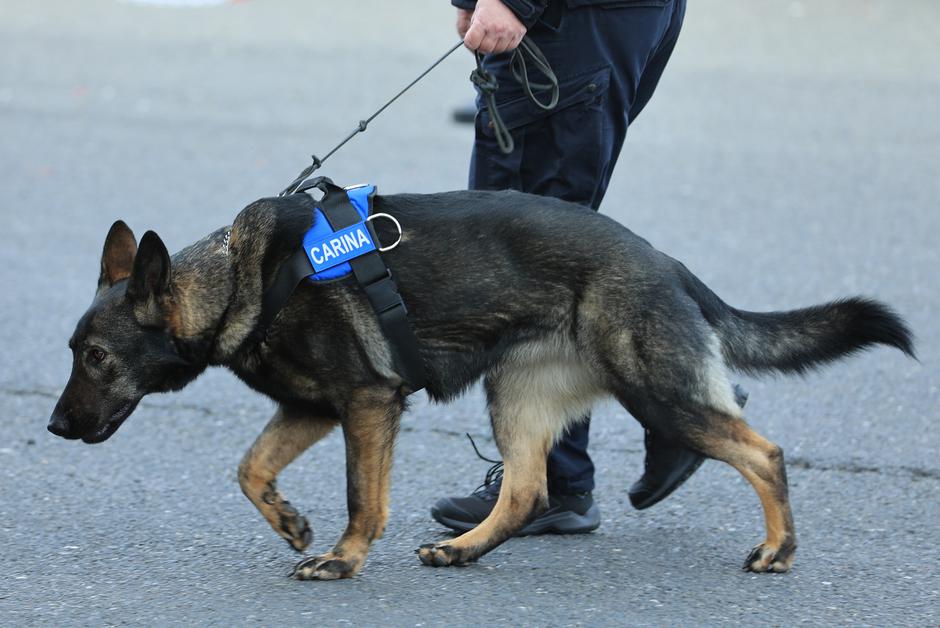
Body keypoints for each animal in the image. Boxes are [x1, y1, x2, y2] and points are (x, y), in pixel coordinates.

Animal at [47, 190, 916, 580]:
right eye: (73, 351)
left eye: (96, 358)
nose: (54, 429)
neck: (242, 280)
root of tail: (666, 261)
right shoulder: (314, 407)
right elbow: (250, 467)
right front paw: (292, 523)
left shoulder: (366, 405)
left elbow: (363, 498)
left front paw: (343, 558)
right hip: (518, 397)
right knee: (528, 488)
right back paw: (464, 549)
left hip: (656, 392)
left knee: (762, 451)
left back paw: (778, 548)